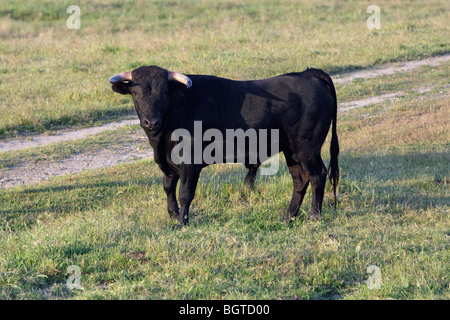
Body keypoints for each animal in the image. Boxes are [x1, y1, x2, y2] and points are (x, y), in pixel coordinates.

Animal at [110, 65, 340, 226]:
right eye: (136, 93)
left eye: (164, 93)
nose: (151, 122)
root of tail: (308, 74)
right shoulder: (168, 163)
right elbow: (168, 187)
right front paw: (173, 214)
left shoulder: (190, 162)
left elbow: (185, 193)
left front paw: (181, 222)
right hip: (292, 150)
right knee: (300, 179)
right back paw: (288, 217)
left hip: (307, 147)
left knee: (317, 174)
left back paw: (313, 216)